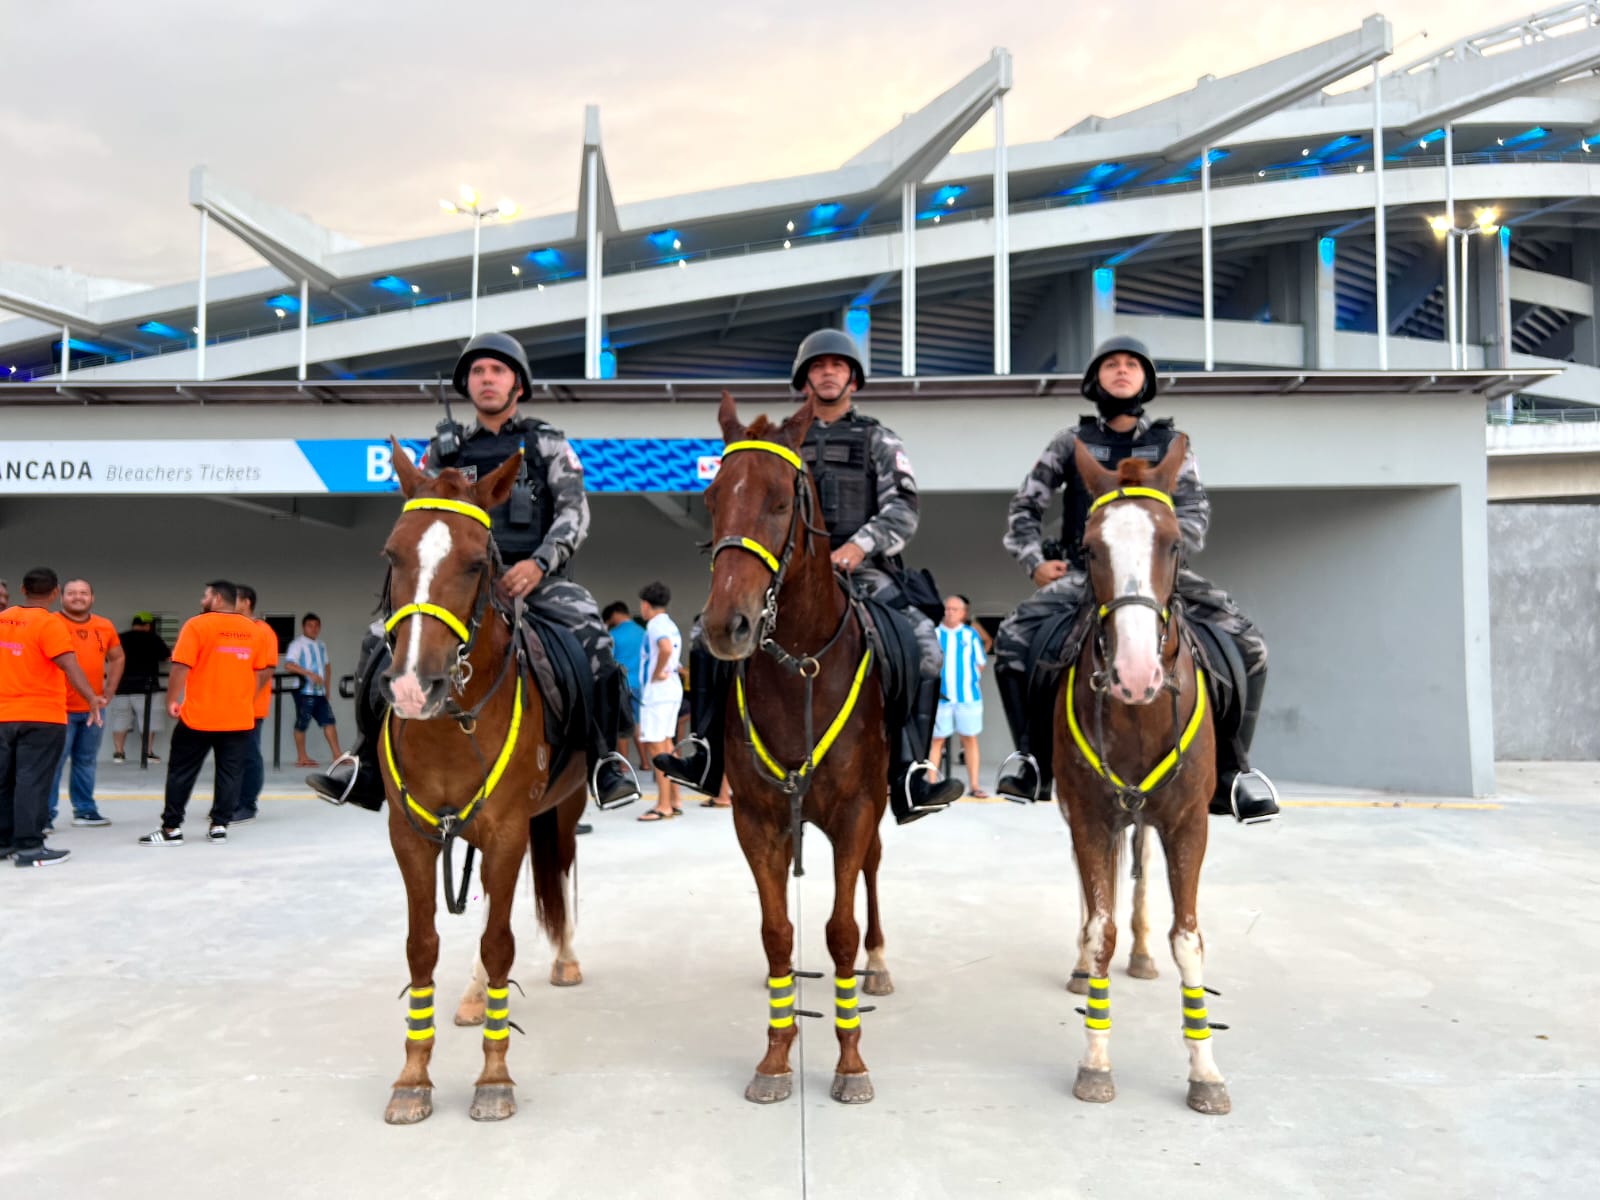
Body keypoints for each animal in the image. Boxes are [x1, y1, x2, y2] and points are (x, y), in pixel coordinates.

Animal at [377, 438, 592, 1126]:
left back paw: (565, 959)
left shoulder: (507, 828)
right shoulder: (410, 835)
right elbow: (421, 946)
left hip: (559, 807)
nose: (412, 687)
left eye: (476, 564)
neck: (451, 724)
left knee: (559, 874)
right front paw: (412, 1078)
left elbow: (500, 942)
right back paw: (473, 996)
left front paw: (494, 1077)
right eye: (392, 555)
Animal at [704, 392, 902, 1107]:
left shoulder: (855, 811)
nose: (726, 625)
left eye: (778, 502)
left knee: (872, 872)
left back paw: (879, 963)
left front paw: (851, 1061)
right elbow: (777, 933)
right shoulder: (756, 819)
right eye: (712, 499)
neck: (800, 669)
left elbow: (840, 931)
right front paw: (774, 1056)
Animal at [1056, 438, 1228, 1120]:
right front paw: (1095, 1062)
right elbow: (1098, 925)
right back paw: (1082, 966)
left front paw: (1206, 1072)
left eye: (1174, 543)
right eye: (1088, 549)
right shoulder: (1088, 815)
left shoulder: (1188, 825)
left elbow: (1191, 941)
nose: (1134, 674)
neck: (1135, 712)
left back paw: (1144, 955)